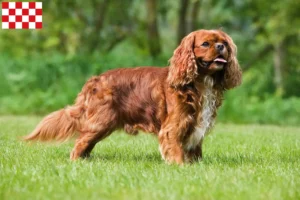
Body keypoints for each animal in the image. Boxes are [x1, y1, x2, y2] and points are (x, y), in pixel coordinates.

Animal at [24, 29, 243, 164]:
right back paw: (76, 162)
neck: (200, 83)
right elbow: (176, 151)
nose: (221, 47)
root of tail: (95, 80)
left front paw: (196, 166)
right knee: (79, 144)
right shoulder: (174, 127)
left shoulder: (195, 128)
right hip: (101, 122)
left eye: (224, 42)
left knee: (85, 143)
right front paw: (180, 166)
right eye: (206, 44)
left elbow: (195, 152)